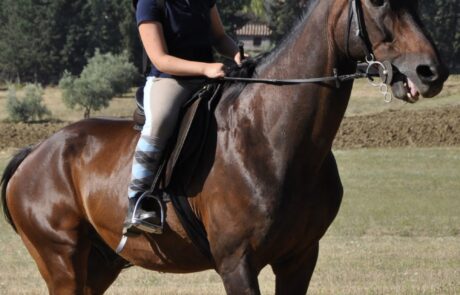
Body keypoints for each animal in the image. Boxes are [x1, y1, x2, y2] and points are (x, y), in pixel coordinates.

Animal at [0, 1, 446, 294]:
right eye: (378, 1)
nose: (431, 72)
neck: (273, 137)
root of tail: (35, 152)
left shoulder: (300, 259)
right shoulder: (237, 264)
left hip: (99, 265)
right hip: (63, 262)